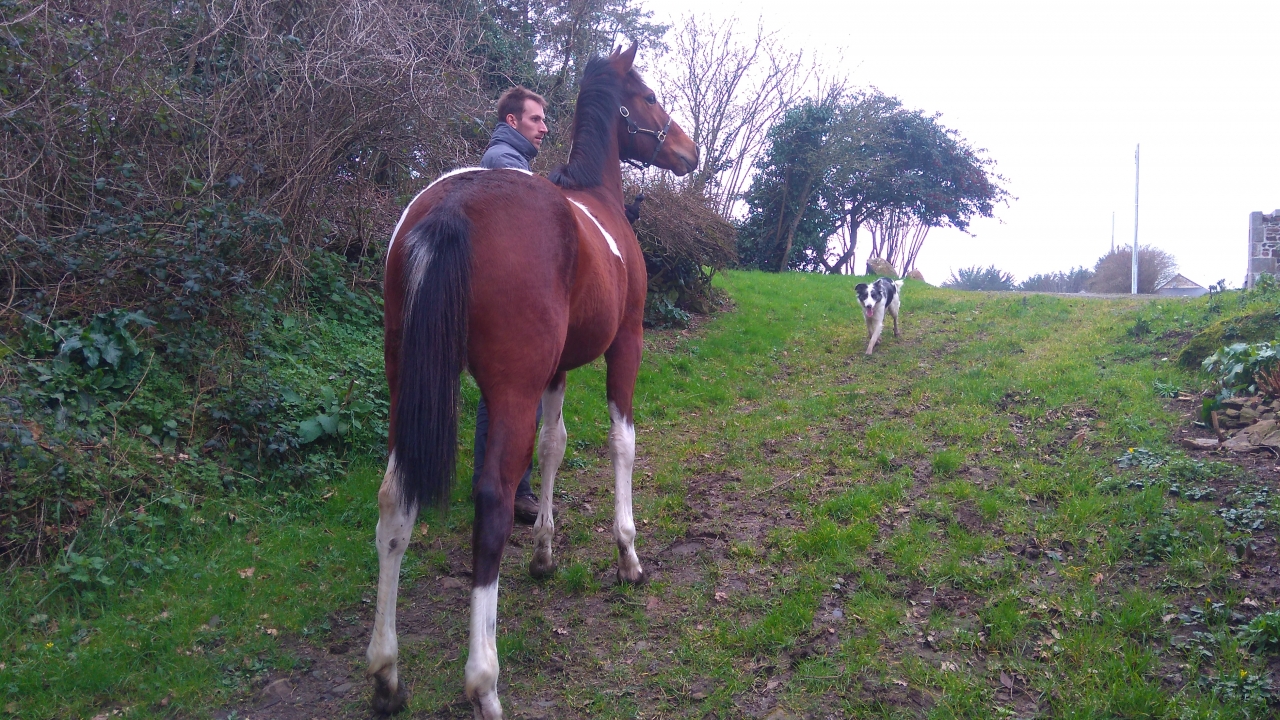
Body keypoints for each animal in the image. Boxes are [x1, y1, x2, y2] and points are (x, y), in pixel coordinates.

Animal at [367, 44, 698, 718]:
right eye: (649, 95)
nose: (690, 150)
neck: (598, 201)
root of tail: (452, 205)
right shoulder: (626, 344)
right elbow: (621, 443)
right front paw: (628, 556)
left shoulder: (557, 369)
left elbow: (553, 448)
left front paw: (545, 550)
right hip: (510, 389)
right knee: (491, 502)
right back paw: (484, 686)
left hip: (405, 384)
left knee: (394, 499)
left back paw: (387, 674)